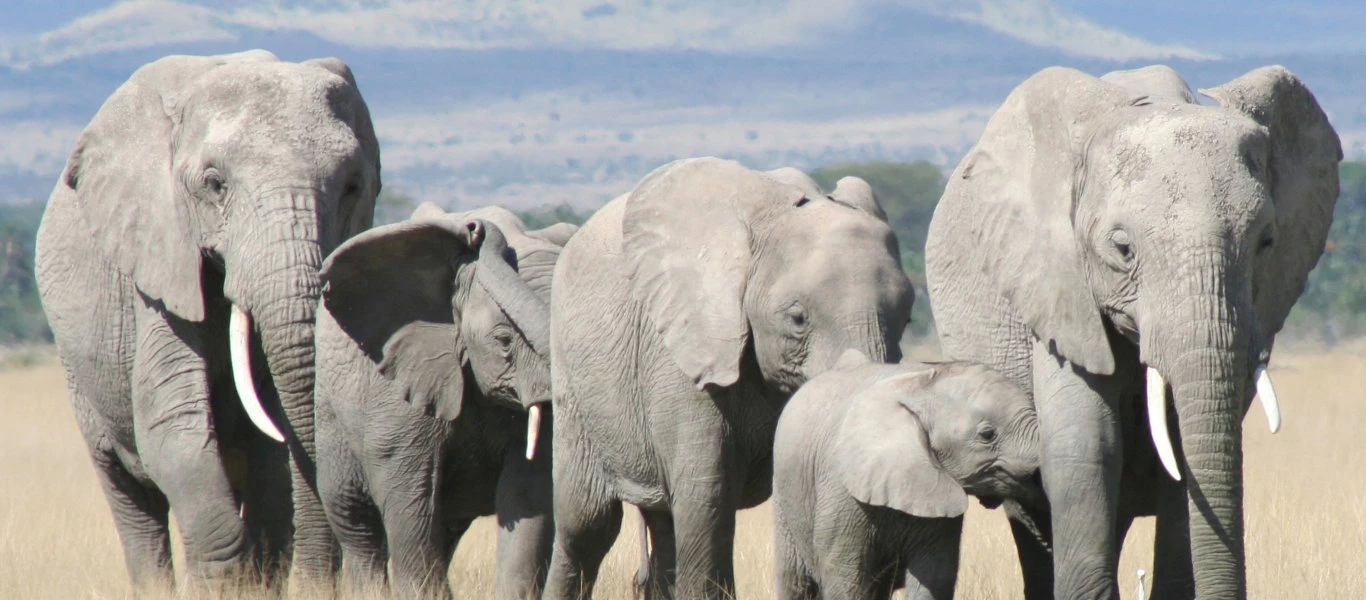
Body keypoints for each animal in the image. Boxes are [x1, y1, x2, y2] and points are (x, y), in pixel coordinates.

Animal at [37, 49, 379, 590]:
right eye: (215, 185)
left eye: (353, 186)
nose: (323, 577)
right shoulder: (158, 258)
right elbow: (170, 421)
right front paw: (222, 579)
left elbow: (273, 445)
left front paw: (258, 579)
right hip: (79, 372)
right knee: (130, 495)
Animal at [312, 205, 570, 598]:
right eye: (503, 340)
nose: (475, 227)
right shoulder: (399, 385)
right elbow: (409, 493)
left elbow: (529, 492)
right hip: (330, 410)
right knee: (356, 523)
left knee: (446, 529)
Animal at [538, 157, 912, 598]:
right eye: (798, 319)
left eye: (907, 317)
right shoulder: (683, 353)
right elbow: (708, 496)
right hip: (574, 381)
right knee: (587, 527)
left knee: (662, 524)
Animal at [775, 349, 1038, 598]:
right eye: (987, 435)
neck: (919, 386)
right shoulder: (842, 491)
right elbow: (845, 578)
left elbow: (934, 576)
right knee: (795, 581)